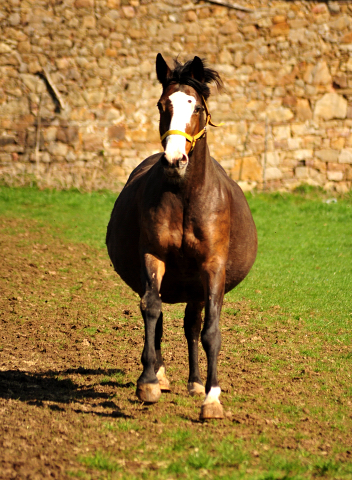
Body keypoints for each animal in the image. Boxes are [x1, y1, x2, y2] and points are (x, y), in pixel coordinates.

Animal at [106, 53, 258, 420]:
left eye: (197, 107)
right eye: (163, 105)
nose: (175, 159)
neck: (186, 196)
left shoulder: (213, 268)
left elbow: (210, 331)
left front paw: (212, 398)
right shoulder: (153, 257)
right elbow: (151, 309)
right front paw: (148, 382)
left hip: (196, 287)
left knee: (193, 326)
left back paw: (196, 383)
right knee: (157, 314)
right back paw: (159, 375)